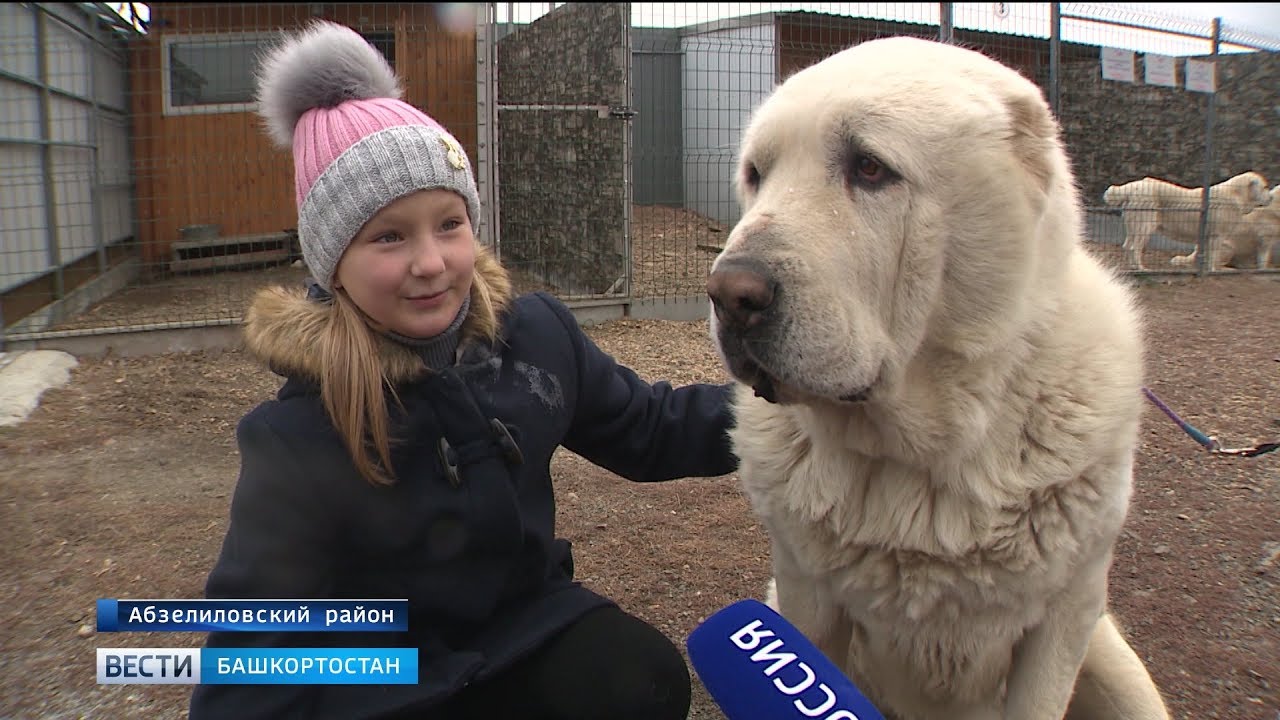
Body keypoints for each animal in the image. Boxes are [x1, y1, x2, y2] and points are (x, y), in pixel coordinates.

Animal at [711, 36, 1172, 712]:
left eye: (870, 168)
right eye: (756, 175)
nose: (728, 295)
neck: (922, 464)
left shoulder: (1068, 614)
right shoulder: (803, 597)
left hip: (1114, 664)